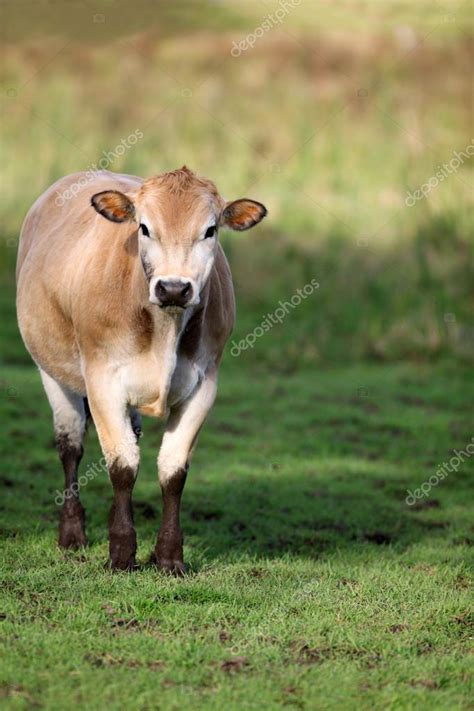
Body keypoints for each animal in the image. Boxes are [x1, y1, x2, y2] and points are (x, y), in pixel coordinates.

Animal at [16, 167, 266, 572]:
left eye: (210, 230)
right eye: (144, 227)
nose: (174, 288)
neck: (164, 328)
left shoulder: (204, 385)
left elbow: (173, 469)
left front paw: (169, 557)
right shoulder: (102, 380)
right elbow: (122, 466)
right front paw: (121, 553)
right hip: (51, 369)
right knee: (70, 445)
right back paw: (72, 533)